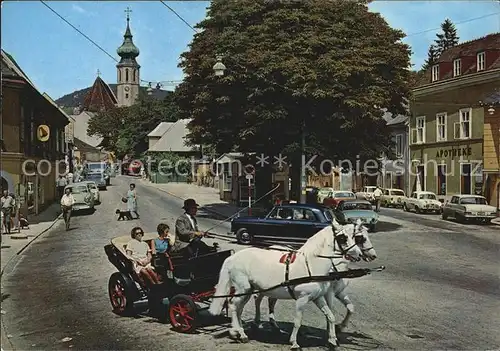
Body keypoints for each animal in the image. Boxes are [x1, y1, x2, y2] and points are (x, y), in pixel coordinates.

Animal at [209, 223, 362, 350]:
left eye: (353, 236)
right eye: (342, 238)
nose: (359, 254)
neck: (311, 265)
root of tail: (232, 258)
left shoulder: (317, 297)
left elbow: (330, 316)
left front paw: (332, 340)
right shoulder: (302, 299)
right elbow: (297, 321)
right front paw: (294, 343)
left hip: (249, 289)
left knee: (239, 308)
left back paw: (238, 331)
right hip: (243, 288)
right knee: (234, 305)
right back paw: (240, 333)